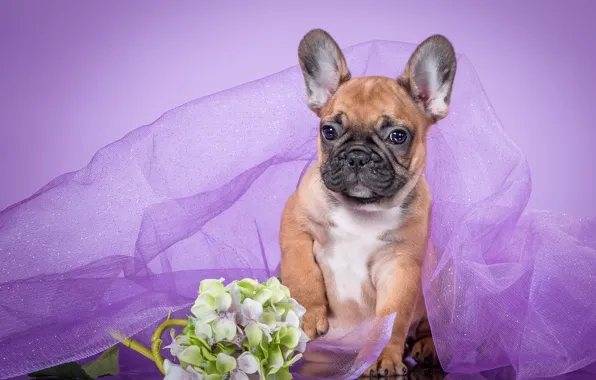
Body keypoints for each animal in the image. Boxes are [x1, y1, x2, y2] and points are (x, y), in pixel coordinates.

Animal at [280, 30, 456, 378]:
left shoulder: (399, 267)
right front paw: (309, 316)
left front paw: (383, 357)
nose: (357, 156)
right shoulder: (295, 225)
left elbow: (391, 319)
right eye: (329, 131)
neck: (363, 210)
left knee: (433, 328)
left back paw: (428, 346)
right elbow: (301, 271)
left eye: (398, 136)